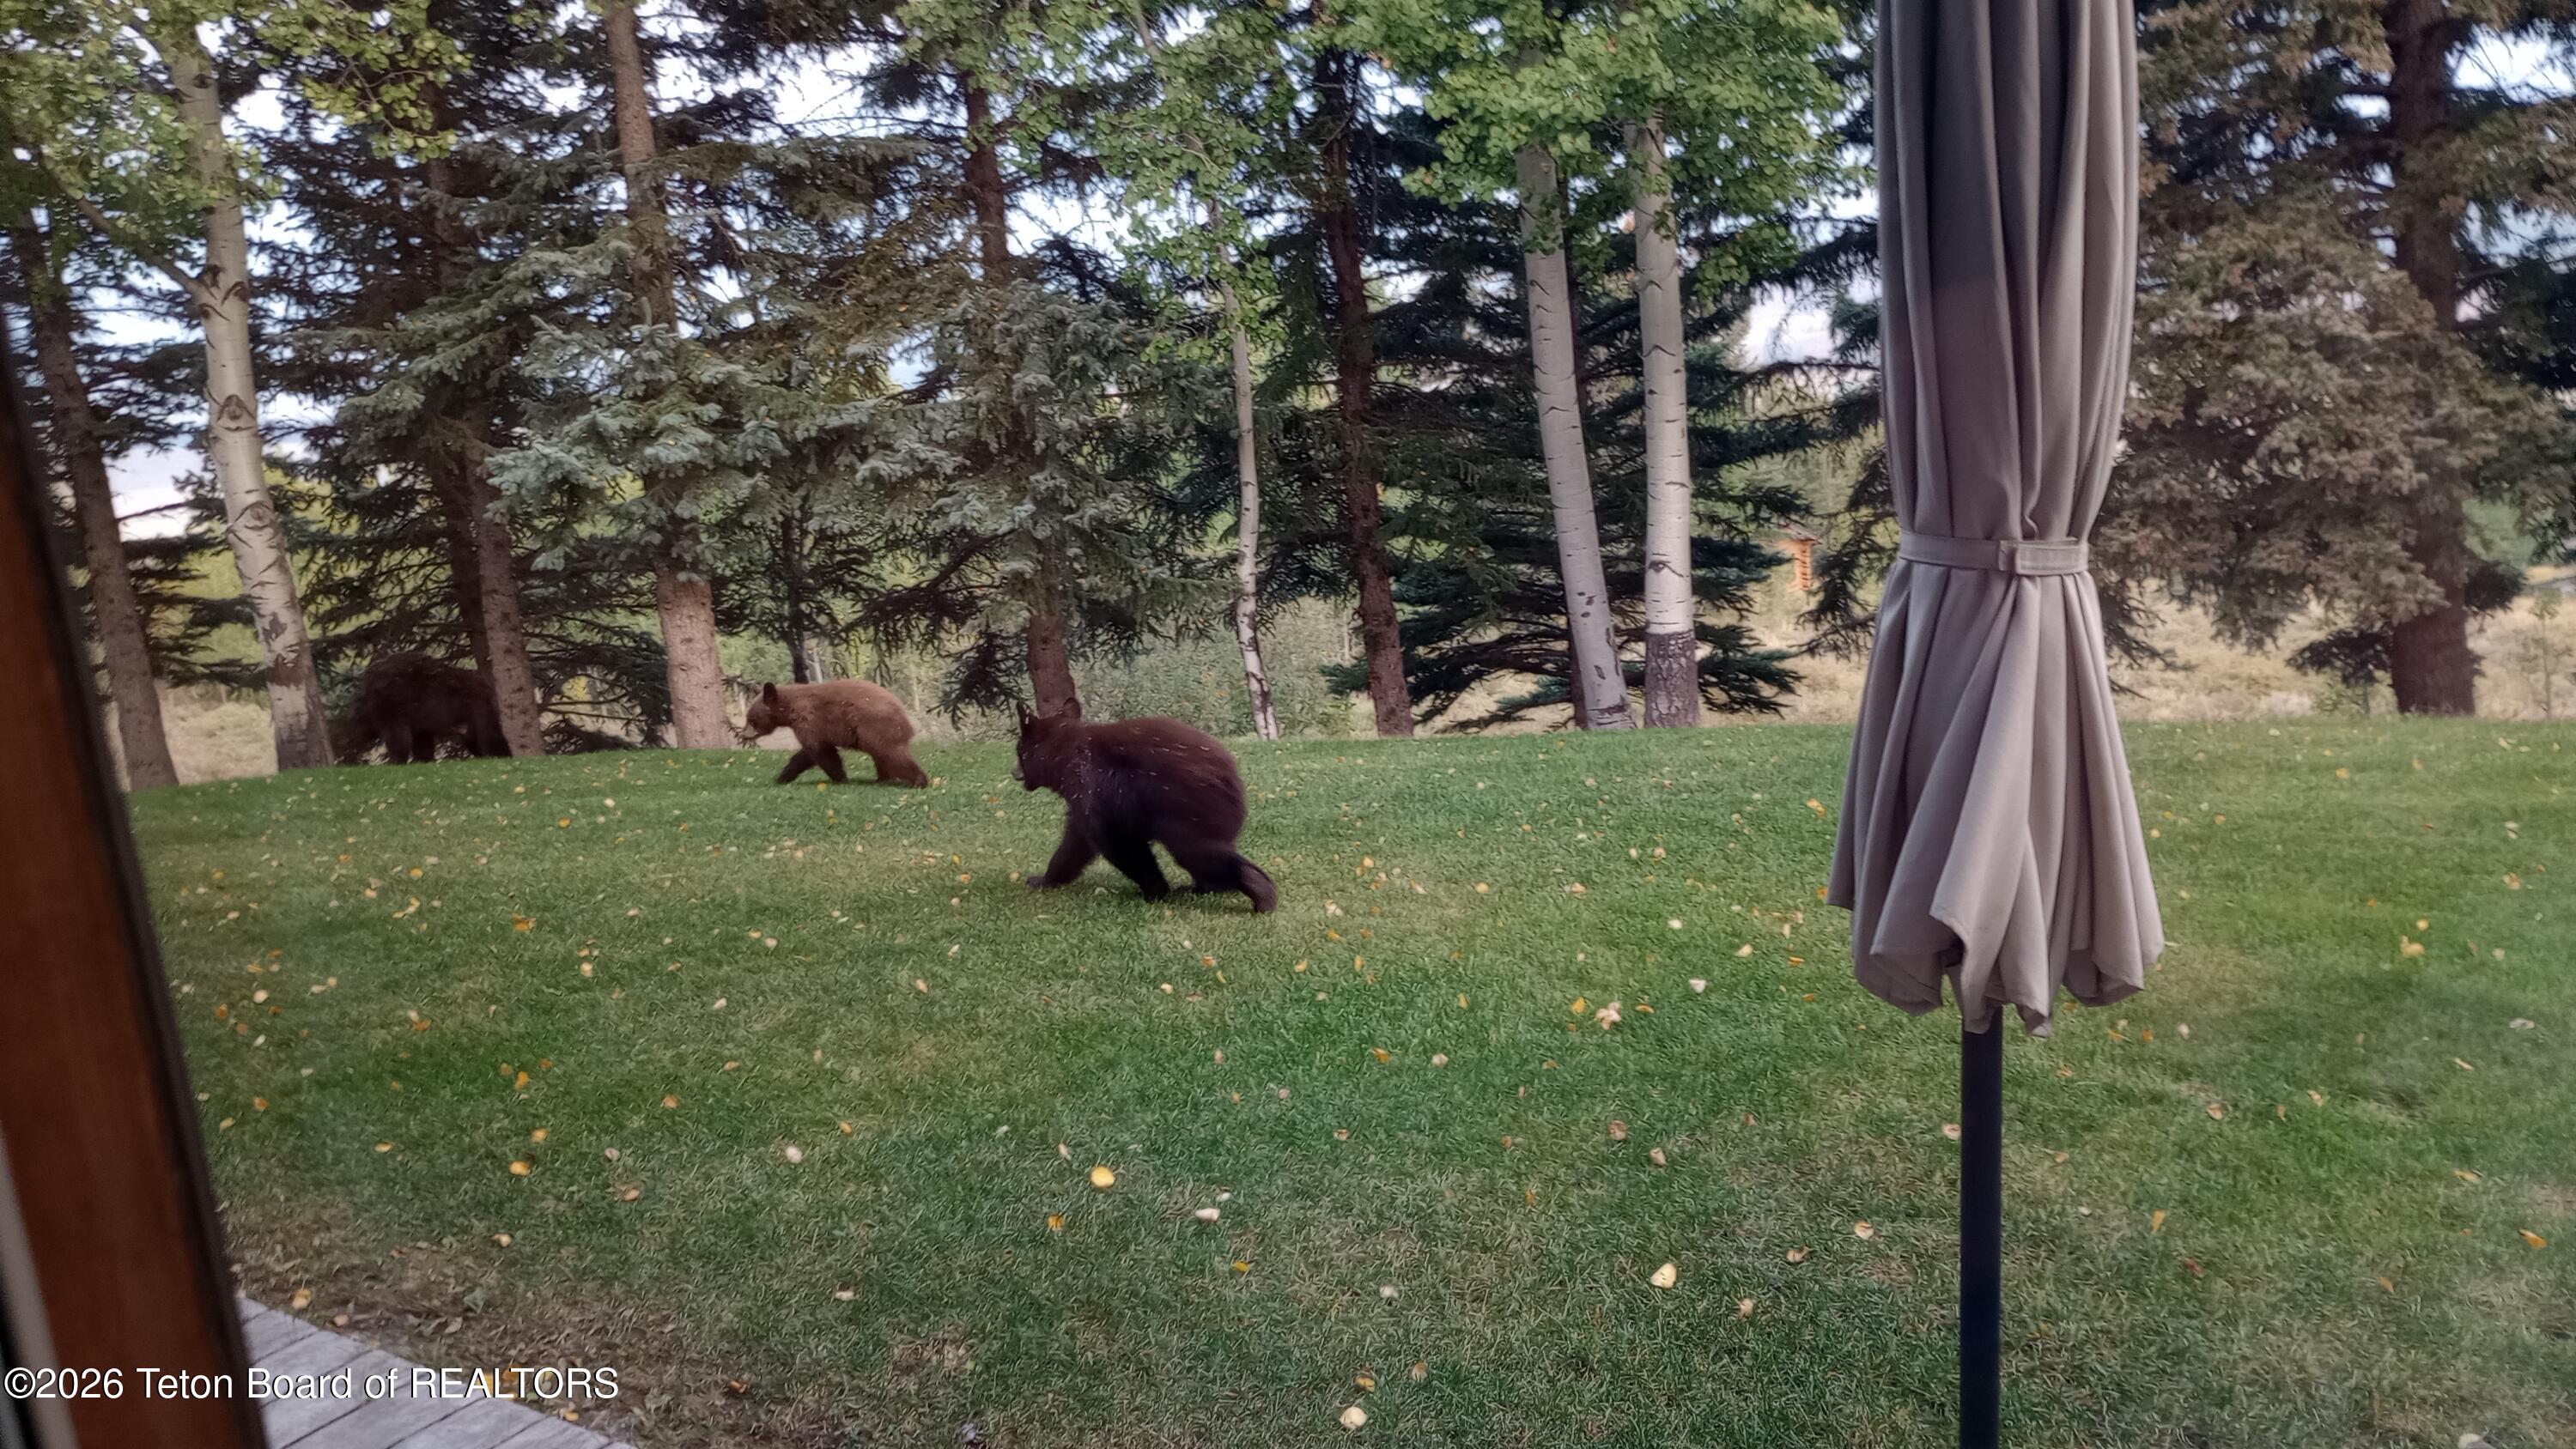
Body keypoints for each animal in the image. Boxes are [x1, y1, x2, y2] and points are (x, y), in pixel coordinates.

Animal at [340, 653, 509, 764]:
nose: (349, 741)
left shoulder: (395, 707)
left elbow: (398, 736)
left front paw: (396, 760)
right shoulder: (419, 720)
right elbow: (421, 740)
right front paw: (423, 759)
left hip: (474, 707)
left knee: (488, 734)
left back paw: (500, 753)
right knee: (476, 738)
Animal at [744, 679, 930, 787]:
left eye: (752, 719)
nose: (743, 734)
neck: (790, 709)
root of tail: (905, 716)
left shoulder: (809, 721)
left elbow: (820, 751)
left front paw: (841, 778)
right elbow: (808, 754)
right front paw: (783, 776)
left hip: (877, 728)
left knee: (894, 756)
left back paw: (919, 781)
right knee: (883, 757)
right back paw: (882, 779)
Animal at [1013, 699, 1278, 913]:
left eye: (1019, 751)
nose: (1014, 772)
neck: (1065, 757)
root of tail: (1233, 777)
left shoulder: (1091, 788)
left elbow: (1117, 841)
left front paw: (1155, 890)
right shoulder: (1083, 802)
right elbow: (1075, 844)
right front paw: (1044, 878)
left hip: (1188, 809)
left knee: (1200, 853)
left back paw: (1261, 895)